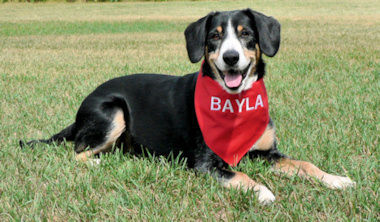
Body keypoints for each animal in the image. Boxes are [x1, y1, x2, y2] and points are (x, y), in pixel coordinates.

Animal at [19, 9, 354, 206]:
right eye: (214, 36)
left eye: (246, 33)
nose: (231, 57)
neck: (234, 103)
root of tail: (83, 107)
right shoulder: (206, 163)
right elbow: (239, 176)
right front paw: (263, 191)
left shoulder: (266, 152)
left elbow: (305, 165)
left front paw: (336, 179)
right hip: (113, 112)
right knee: (78, 152)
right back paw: (100, 162)